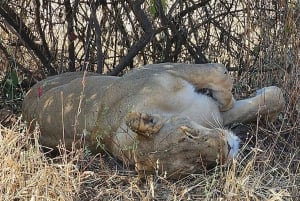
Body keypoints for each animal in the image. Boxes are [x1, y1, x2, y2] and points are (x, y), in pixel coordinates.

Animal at [22, 63, 284, 178]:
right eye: (197, 166)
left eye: (189, 134)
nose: (228, 148)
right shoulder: (215, 117)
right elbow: (273, 98)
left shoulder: (161, 69)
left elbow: (218, 74)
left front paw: (229, 96)